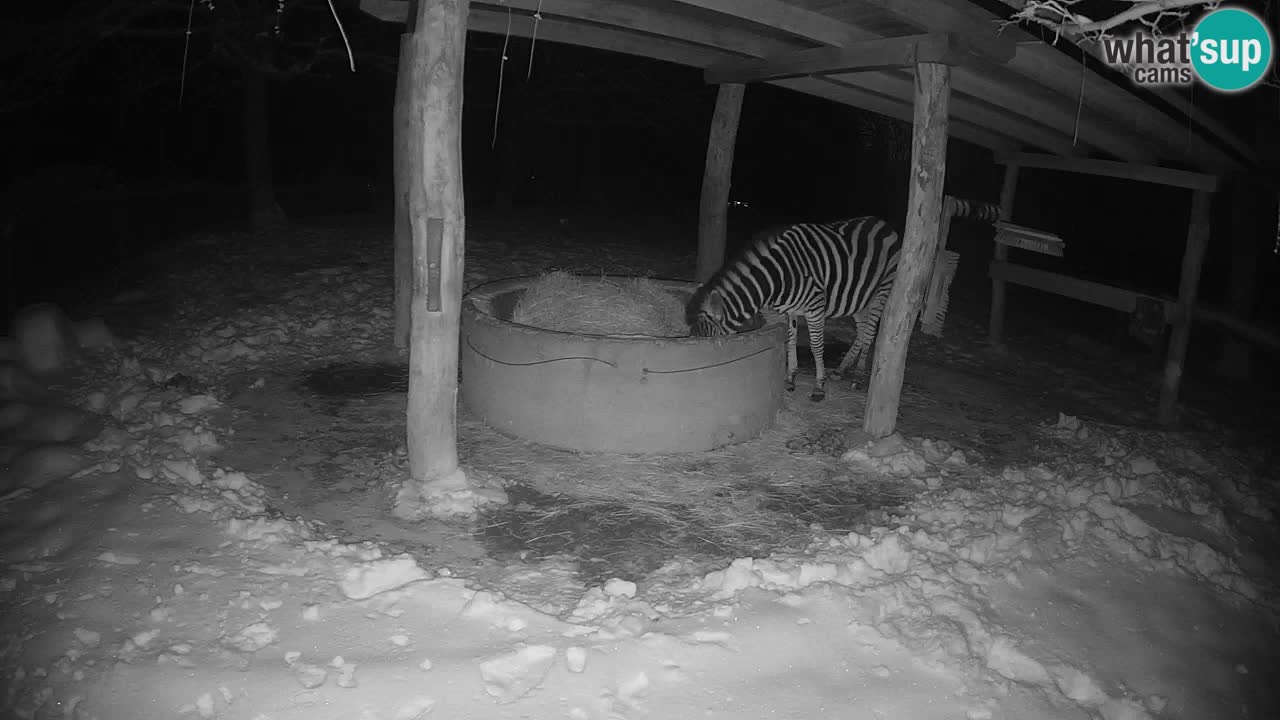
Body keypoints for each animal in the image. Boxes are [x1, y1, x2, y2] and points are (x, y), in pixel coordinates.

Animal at [686, 197, 999, 402]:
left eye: (712, 345)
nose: (701, 373)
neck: (778, 278)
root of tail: (884, 224)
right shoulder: (789, 311)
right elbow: (789, 340)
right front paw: (791, 378)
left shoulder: (814, 307)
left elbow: (815, 345)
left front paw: (819, 386)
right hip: (860, 299)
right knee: (862, 331)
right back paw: (845, 369)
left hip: (882, 290)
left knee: (870, 332)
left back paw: (855, 376)